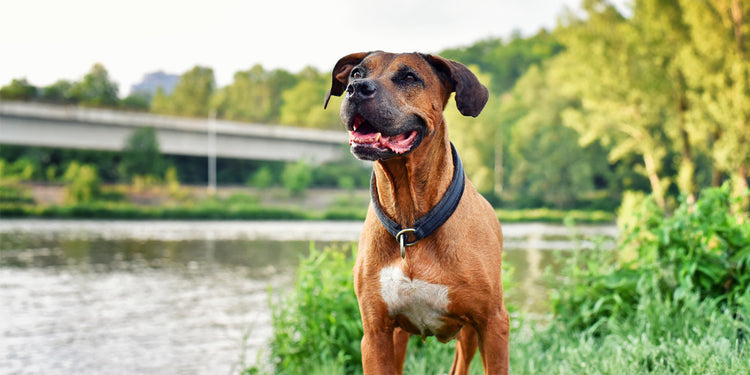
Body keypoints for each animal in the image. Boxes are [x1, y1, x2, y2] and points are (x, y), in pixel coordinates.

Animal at [324, 52, 512, 375]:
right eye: (356, 73)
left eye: (409, 77)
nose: (356, 89)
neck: (410, 223)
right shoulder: (376, 332)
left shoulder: (493, 324)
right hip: (398, 337)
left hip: (470, 334)